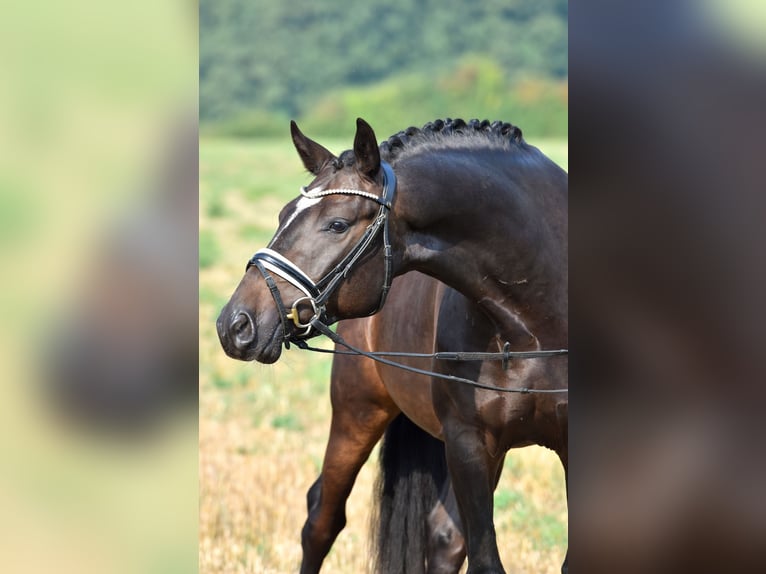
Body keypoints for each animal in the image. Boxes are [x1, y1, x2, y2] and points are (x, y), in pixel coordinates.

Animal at [218, 119, 568, 572]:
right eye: (282, 214)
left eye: (337, 224)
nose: (234, 324)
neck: (533, 325)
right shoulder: (468, 443)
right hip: (358, 411)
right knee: (322, 519)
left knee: (443, 536)